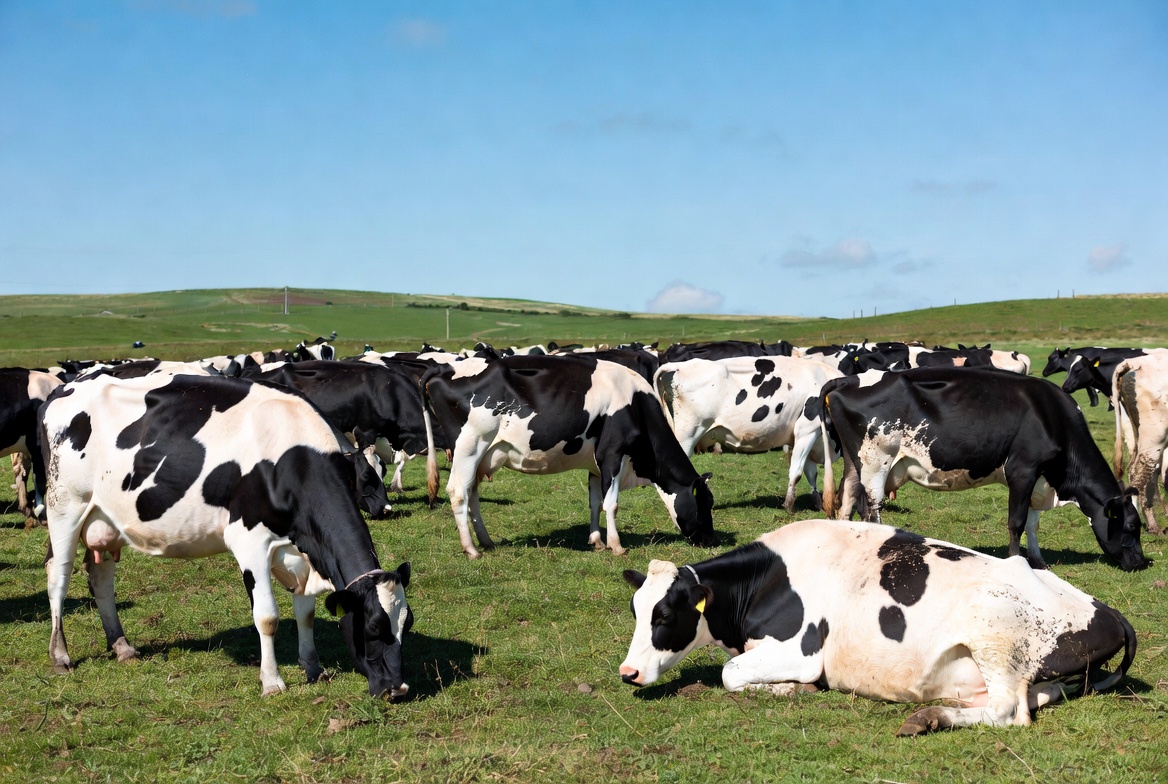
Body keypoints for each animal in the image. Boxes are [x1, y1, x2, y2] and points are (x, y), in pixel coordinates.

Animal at [39, 373, 411, 697]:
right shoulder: (249, 540)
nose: (398, 689)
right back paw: (60, 655)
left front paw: (313, 668)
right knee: (58, 575)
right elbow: (267, 617)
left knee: (100, 578)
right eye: (374, 627)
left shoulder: (300, 548)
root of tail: (66, 387)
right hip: (65, 506)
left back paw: (122, 646)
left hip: (105, 520)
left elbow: (304, 612)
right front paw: (272, 682)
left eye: (406, 624)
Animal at [423, 354, 716, 558]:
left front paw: (597, 541)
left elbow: (595, 502)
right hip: (468, 446)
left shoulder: (596, 464)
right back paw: (471, 549)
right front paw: (616, 546)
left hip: (479, 455)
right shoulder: (613, 453)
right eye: (705, 504)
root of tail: (445, 368)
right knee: (459, 492)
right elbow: (612, 504)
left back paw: (486, 541)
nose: (710, 540)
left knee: (472, 491)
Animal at [619, 519, 1136, 735]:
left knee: (1010, 711)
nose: (628, 673)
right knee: (1034, 697)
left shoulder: (801, 653)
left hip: (995, 635)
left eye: (664, 616)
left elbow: (731, 674)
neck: (768, 579)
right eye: (636, 611)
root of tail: (1107, 610)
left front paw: (788, 690)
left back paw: (931, 718)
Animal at [654, 356, 841, 513]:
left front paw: (817, 503)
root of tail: (680, 365)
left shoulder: (807, 436)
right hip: (687, 434)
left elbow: (811, 473)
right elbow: (796, 472)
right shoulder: (807, 429)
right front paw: (789, 506)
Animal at [820, 367, 1148, 572]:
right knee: (870, 510)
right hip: (876, 463)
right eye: (1133, 526)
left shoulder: (1039, 479)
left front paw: (1039, 561)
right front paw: (1017, 562)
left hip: (855, 463)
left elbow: (1033, 523)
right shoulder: (1022, 471)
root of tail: (846, 380)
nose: (1141, 563)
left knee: (846, 503)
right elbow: (1016, 522)